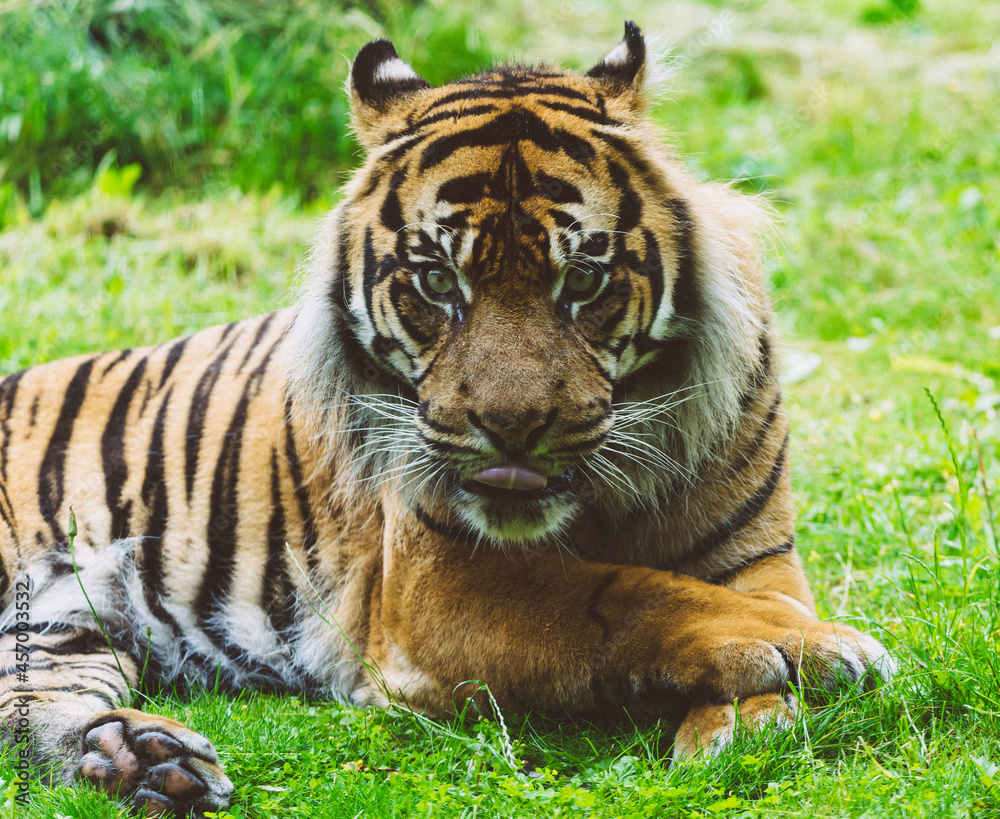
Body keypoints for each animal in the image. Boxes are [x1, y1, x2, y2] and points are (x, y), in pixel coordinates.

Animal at [0, 22, 893, 816]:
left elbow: (732, 596)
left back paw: (141, 760)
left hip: (63, 634)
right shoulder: (435, 585)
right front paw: (810, 648)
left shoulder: (756, 555)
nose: (513, 426)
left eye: (583, 279)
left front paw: (750, 709)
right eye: (436, 281)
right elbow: (628, 592)